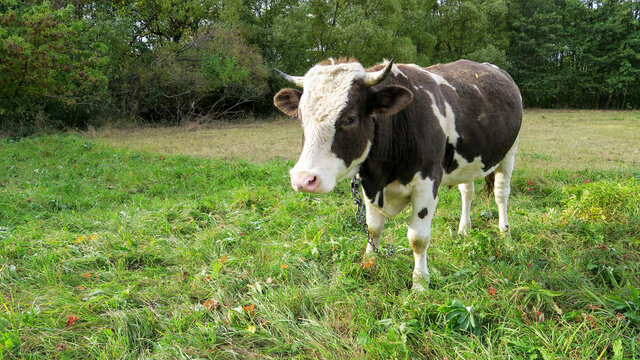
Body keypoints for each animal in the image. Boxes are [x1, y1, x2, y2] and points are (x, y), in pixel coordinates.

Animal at [272, 58, 524, 290]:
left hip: (509, 153)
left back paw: (505, 234)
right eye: (300, 118)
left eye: (350, 119)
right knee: (467, 191)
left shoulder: (427, 184)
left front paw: (420, 284)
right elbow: (373, 229)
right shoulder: (369, 184)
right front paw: (369, 261)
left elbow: (418, 239)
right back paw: (464, 229)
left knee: (501, 194)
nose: (303, 179)